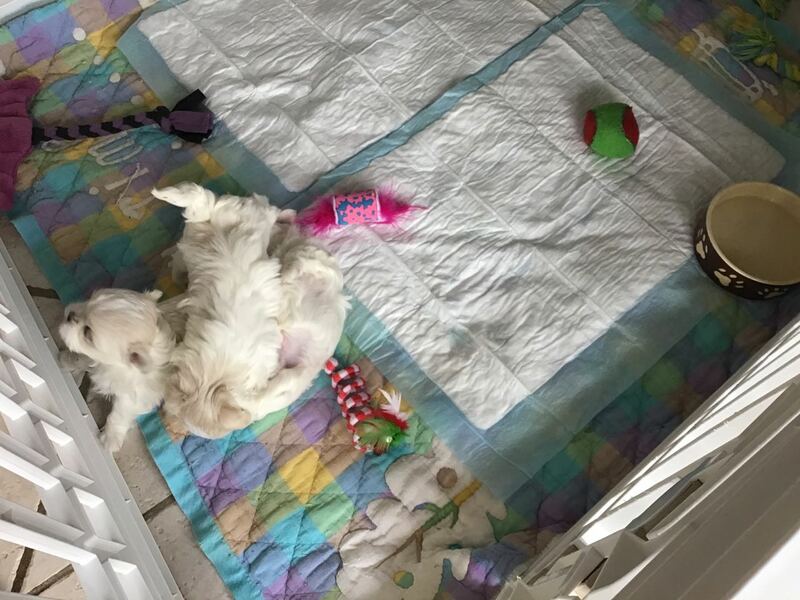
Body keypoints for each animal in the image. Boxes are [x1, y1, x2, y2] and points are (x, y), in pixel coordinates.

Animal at [59, 288, 175, 452]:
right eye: (89, 300)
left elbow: (119, 413)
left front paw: (110, 438)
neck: (113, 365)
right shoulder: (95, 360)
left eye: (87, 332)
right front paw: (66, 360)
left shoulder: (134, 394)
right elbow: (81, 360)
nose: (70, 315)